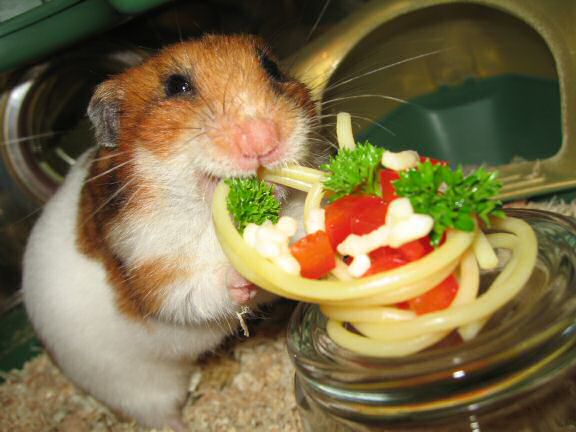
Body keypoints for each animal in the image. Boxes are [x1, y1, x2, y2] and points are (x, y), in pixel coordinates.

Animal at [22, 34, 318, 432]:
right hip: (137, 390)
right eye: (177, 86)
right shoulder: (153, 273)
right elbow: (198, 292)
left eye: (271, 67)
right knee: (161, 415)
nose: (264, 138)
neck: (209, 216)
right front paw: (244, 275)